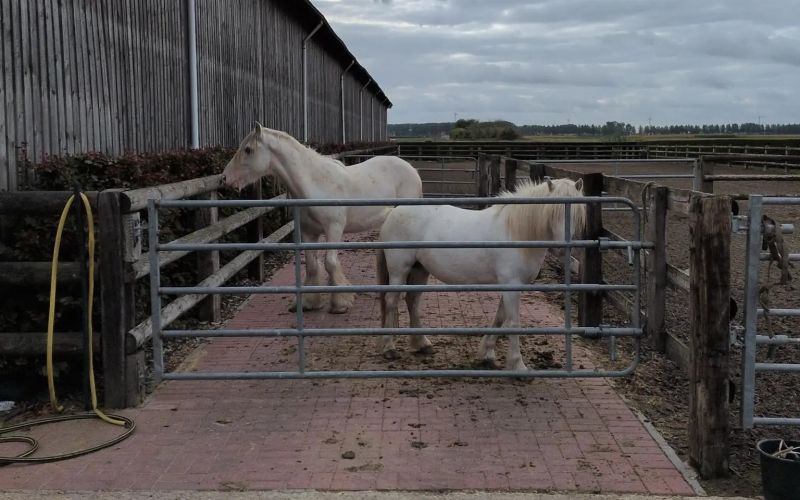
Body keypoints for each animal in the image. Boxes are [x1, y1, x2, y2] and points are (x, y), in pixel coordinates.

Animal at [222, 123, 423, 313]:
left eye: (248, 149)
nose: (225, 178)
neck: (315, 184)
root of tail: (412, 169)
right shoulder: (308, 232)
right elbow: (312, 265)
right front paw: (309, 303)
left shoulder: (334, 229)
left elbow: (330, 263)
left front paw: (341, 303)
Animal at [376, 177, 586, 370]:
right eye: (552, 211)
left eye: (576, 213)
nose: (562, 248)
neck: (516, 232)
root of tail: (393, 212)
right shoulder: (512, 285)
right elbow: (513, 322)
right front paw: (517, 364)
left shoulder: (510, 286)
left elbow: (500, 318)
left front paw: (486, 353)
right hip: (399, 270)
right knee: (392, 301)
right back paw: (389, 348)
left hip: (420, 270)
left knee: (412, 300)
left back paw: (422, 344)